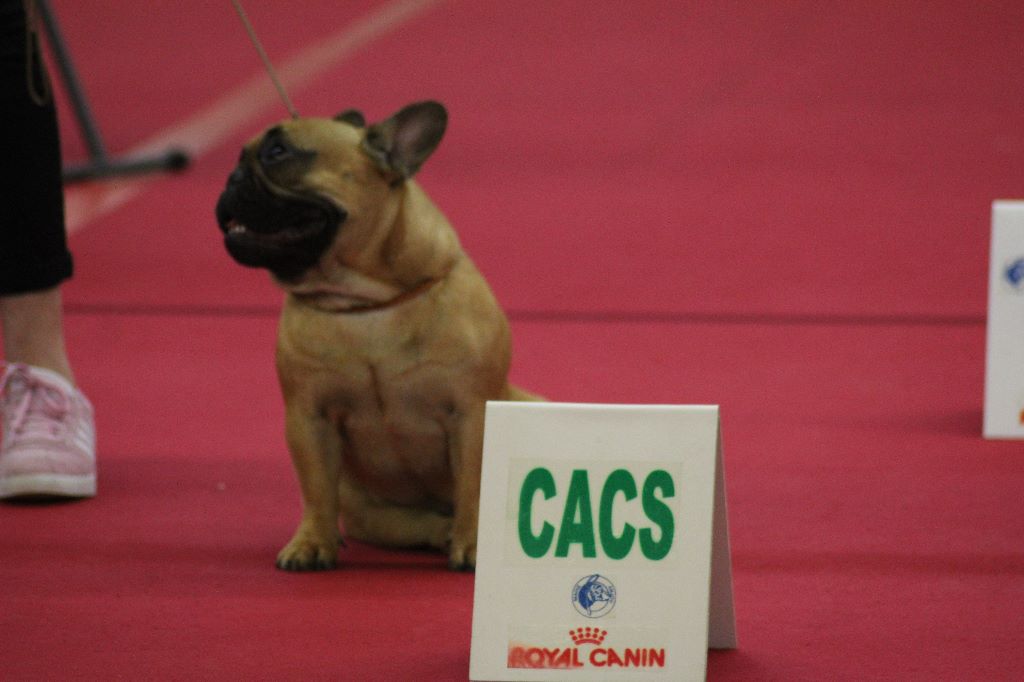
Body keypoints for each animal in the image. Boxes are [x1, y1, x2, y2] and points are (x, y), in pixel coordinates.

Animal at [215, 101, 538, 571]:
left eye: (278, 152)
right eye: (241, 159)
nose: (232, 178)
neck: (364, 300)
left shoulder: (471, 412)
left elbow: (473, 486)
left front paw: (475, 544)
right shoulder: (308, 417)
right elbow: (315, 489)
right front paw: (311, 541)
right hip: (367, 513)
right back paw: (438, 532)